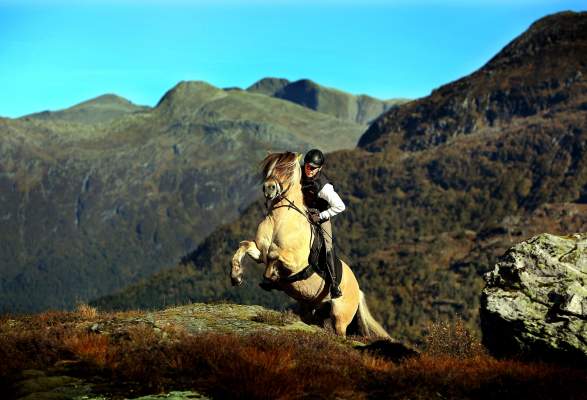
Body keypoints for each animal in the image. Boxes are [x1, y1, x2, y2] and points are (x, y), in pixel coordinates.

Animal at [230, 151, 390, 338]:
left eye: (289, 170)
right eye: (271, 168)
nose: (269, 188)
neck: (280, 219)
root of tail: (358, 290)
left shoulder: (295, 263)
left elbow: (273, 255)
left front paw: (271, 277)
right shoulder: (260, 251)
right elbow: (245, 246)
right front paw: (236, 276)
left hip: (340, 317)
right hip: (312, 310)